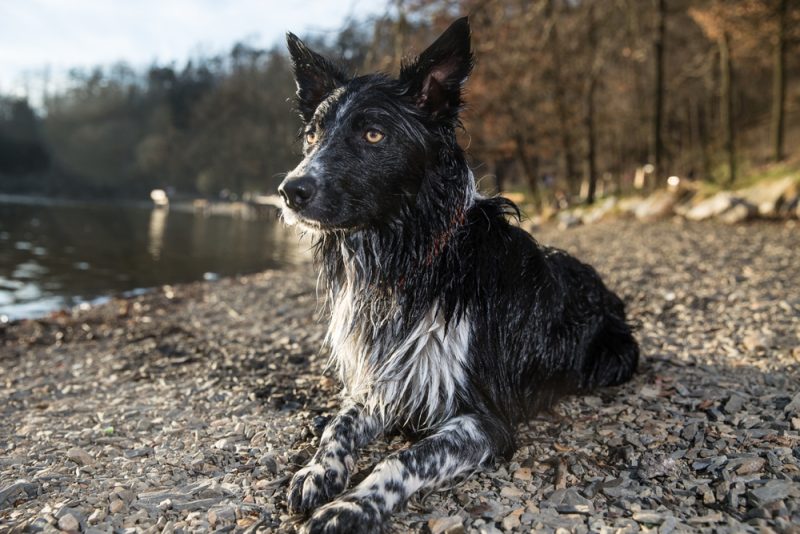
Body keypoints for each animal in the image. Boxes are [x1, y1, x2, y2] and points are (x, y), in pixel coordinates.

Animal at [278, 16, 640, 534]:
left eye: (374, 135)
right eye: (312, 135)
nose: (290, 191)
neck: (409, 260)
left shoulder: (485, 418)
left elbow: (404, 459)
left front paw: (353, 505)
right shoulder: (384, 380)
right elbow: (339, 424)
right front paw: (316, 470)